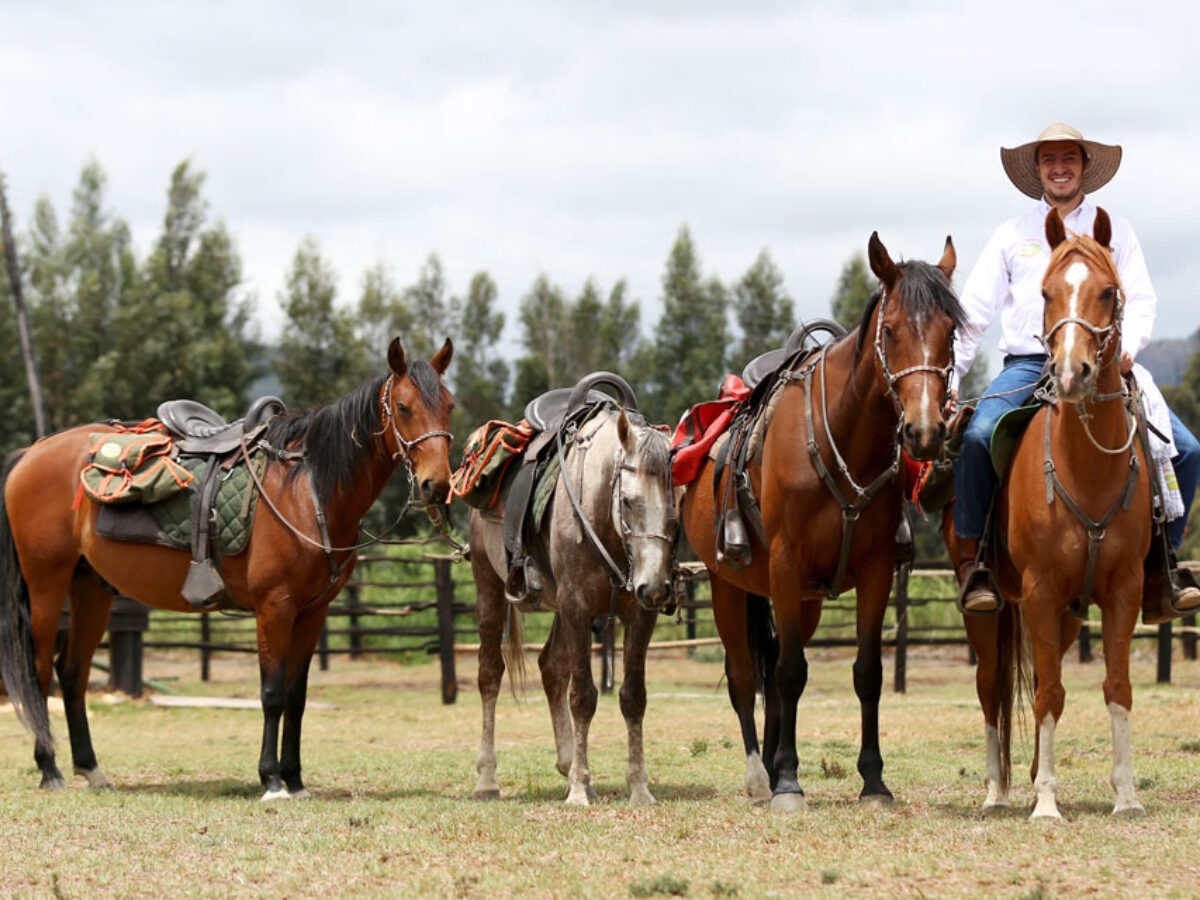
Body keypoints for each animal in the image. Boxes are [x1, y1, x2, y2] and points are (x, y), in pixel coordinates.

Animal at [0, 340, 456, 801]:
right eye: (403, 407)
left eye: (450, 406)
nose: (437, 485)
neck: (306, 489)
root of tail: (32, 452)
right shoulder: (275, 607)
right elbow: (272, 694)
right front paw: (272, 780)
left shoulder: (313, 612)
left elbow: (297, 696)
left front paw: (295, 779)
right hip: (46, 585)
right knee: (39, 671)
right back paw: (50, 769)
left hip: (91, 588)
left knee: (72, 673)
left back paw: (91, 769)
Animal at [465, 391, 681, 806]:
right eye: (627, 501)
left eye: (676, 506)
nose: (654, 587)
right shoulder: (577, 607)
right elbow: (582, 696)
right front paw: (580, 790)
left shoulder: (637, 616)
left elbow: (633, 697)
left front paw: (638, 788)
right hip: (489, 588)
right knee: (490, 674)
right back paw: (486, 779)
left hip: (558, 609)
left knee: (551, 668)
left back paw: (568, 768)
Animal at [681, 232, 960, 811]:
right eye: (891, 330)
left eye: (950, 331)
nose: (924, 432)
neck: (846, 436)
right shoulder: (786, 566)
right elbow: (789, 674)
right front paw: (788, 783)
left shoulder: (875, 572)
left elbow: (867, 673)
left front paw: (873, 780)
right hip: (728, 584)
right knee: (746, 674)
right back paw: (759, 775)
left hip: (803, 598)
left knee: (772, 668)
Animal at [945, 207, 1152, 820]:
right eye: (1044, 292)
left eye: (1109, 291)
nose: (1071, 372)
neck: (1086, 469)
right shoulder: (1037, 589)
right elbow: (1047, 693)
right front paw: (1044, 804)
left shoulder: (1123, 590)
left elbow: (1113, 687)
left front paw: (1126, 797)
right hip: (988, 606)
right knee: (993, 686)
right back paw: (996, 790)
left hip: (1066, 614)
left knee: (1042, 672)